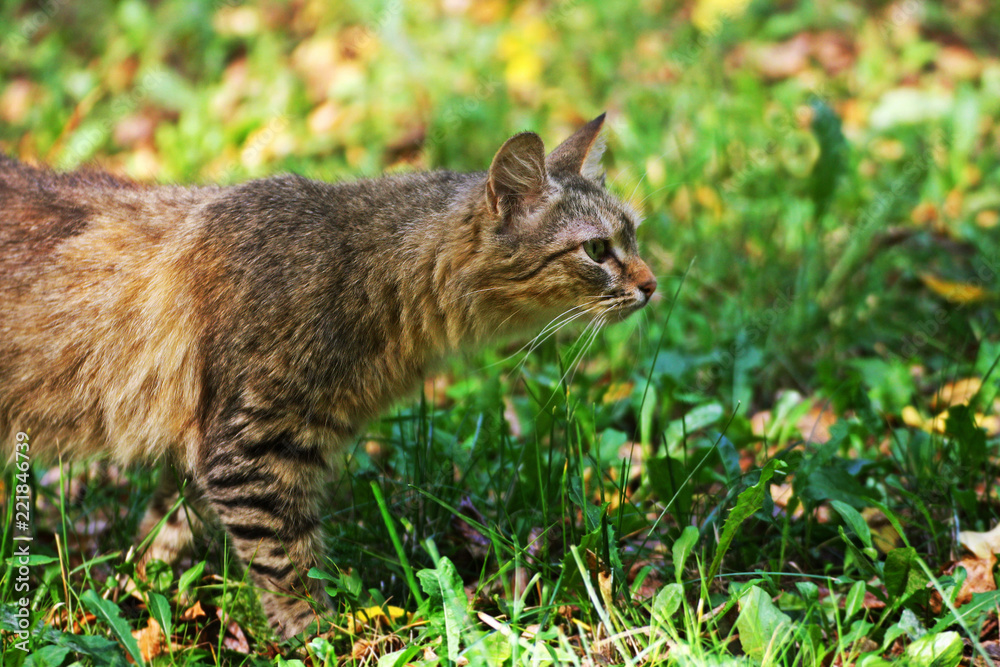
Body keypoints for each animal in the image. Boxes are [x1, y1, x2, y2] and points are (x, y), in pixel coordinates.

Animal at [0, 113, 656, 636]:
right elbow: (289, 567)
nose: (652, 285)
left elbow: (167, 529)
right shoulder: (250, 452)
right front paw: (329, 637)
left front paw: (142, 584)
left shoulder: (207, 451)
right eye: (598, 250)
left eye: (634, 234)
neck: (368, 274)